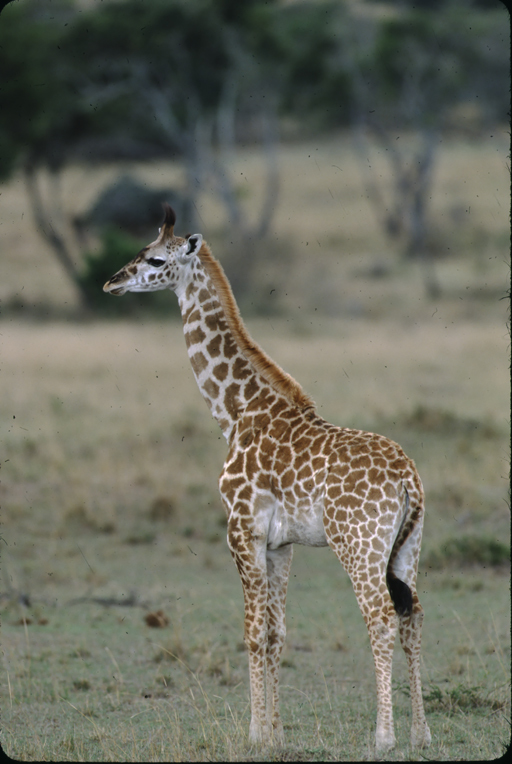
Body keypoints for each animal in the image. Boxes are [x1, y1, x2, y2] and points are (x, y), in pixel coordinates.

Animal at [104, 203, 432, 752]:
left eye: (154, 259)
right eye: (140, 251)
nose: (112, 282)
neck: (236, 411)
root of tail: (408, 478)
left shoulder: (242, 531)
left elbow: (253, 632)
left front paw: (256, 734)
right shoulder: (281, 544)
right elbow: (277, 633)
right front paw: (276, 734)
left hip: (359, 545)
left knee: (382, 617)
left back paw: (383, 737)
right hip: (408, 546)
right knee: (413, 617)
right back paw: (421, 734)